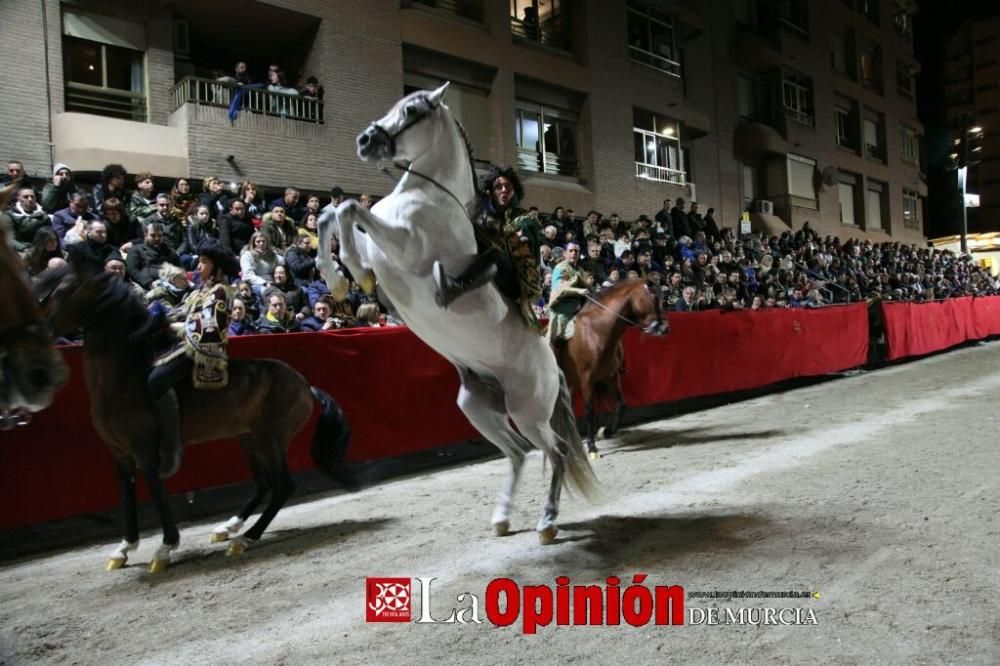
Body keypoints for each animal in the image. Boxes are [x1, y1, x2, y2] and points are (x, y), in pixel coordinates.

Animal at [40, 264, 360, 572]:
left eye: (63, 291)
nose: (40, 329)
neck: (123, 381)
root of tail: (305, 385)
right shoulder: (119, 454)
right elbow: (126, 495)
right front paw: (124, 549)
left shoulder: (144, 451)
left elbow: (156, 492)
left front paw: (164, 549)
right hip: (249, 439)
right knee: (264, 484)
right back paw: (227, 529)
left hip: (270, 439)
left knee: (282, 486)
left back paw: (245, 539)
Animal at [320, 81, 596, 540]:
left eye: (412, 110)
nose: (365, 141)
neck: (427, 195)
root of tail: (552, 368)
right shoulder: (383, 249)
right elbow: (331, 213)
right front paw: (339, 279)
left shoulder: (404, 246)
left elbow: (350, 209)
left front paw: (352, 274)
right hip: (478, 407)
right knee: (518, 453)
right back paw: (502, 520)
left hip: (527, 412)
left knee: (554, 452)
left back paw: (547, 522)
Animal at [552, 276, 668, 456]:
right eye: (653, 297)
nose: (664, 328)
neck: (596, 331)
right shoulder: (587, 380)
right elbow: (589, 410)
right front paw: (592, 446)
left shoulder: (610, 377)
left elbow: (621, 405)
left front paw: (606, 431)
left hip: (571, 381)